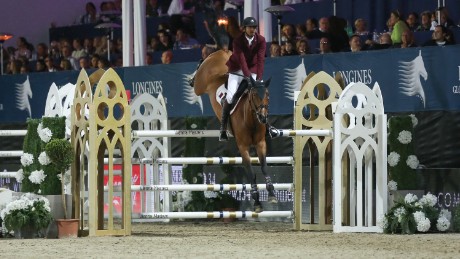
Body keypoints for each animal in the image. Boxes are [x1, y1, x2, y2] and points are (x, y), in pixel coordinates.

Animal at [193, 49, 276, 213]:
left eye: (268, 95)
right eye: (254, 95)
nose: (263, 118)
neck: (251, 119)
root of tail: (221, 51)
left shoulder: (260, 143)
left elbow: (264, 167)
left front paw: (271, 194)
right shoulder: (243, 147)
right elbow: (250, 172)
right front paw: (257, 202)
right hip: (200, 85)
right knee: (197, 79)